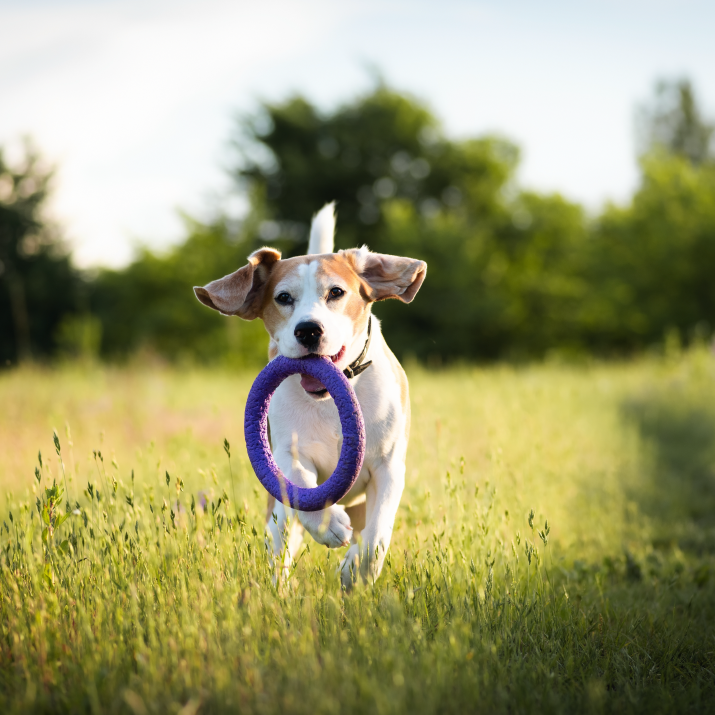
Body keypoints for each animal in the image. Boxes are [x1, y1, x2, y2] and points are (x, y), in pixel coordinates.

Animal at [194, 204, 426, 592]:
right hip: (277, 517)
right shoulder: (287, 454)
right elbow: (301, 481)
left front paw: (355, 569)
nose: (308, 330)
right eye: (283, 298)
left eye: (336, 292)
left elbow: (377, 536)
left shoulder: (390, 466)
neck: (329, 401)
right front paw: (329, 524)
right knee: (281, 546)